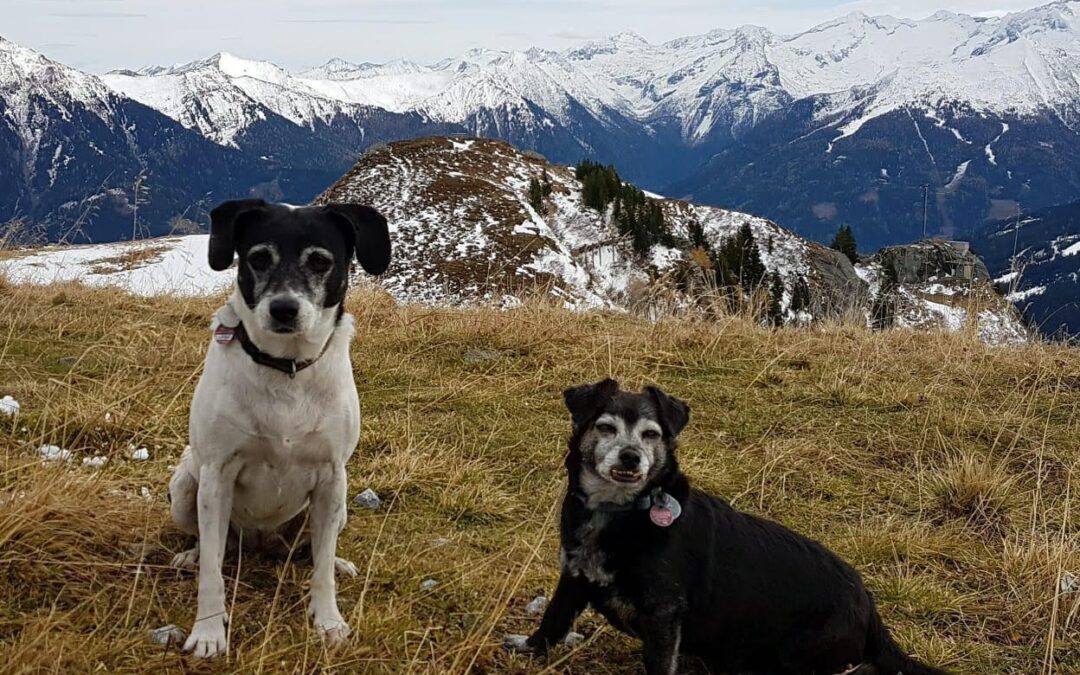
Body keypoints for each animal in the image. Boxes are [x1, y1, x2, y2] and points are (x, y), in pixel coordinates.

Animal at [168, 199, 388, 656]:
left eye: (320, 261)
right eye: (258, 258)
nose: (283, 309)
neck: (286, 369)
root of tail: (261, 543)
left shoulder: (331, 478)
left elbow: (321, 570)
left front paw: (328, 621)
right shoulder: (216, 477)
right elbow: (212, 572)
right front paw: (208, 633)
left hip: (339, 506)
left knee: (314, 551)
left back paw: (338, 562)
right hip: (184, 488)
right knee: (208, 544)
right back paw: (191, 556)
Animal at [505, 380, 946, 673]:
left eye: (651, 434)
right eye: (605, 427)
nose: (631, 457)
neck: (621, 513)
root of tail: (868, 604)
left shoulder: (664, 614)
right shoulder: (573, 577)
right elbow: (553, 620)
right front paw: (528, 647)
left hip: (797, 657)